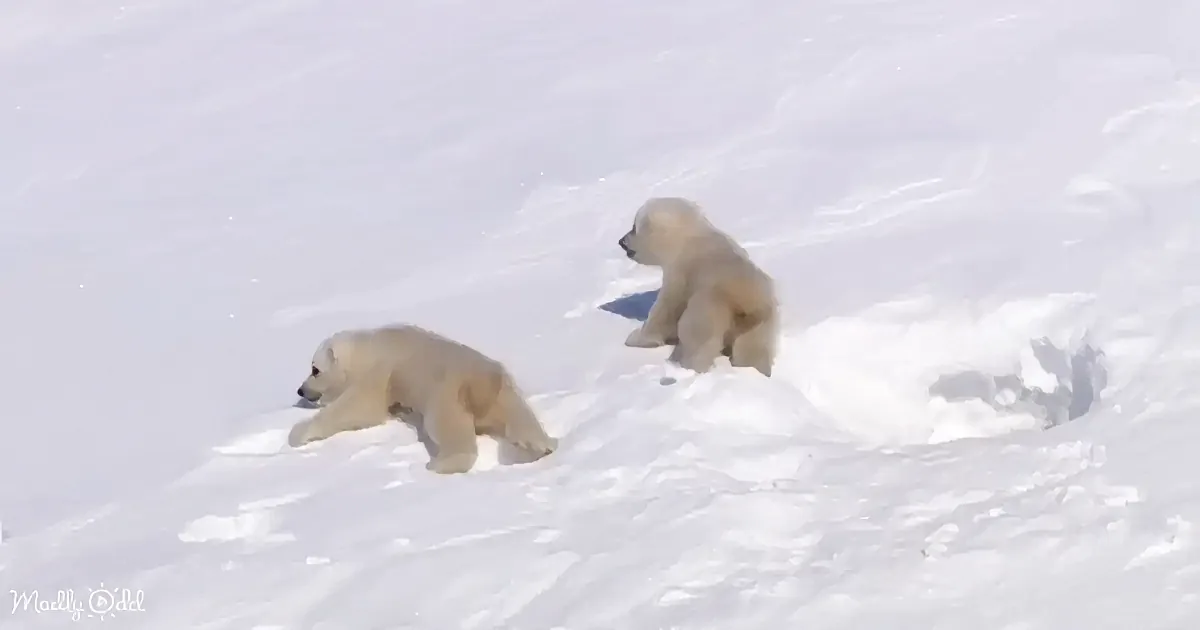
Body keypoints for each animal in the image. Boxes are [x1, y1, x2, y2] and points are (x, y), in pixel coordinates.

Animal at [288, 324, 559, 474]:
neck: (368, 347)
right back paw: (543, 446)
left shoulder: (382, 369)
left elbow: (361, 406)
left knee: (448, 429)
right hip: (506, 395)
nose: (300, 390)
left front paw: (297, 434)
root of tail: (483, 382)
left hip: (444, 394)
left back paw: (440, 464)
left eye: (315, 369)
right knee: (522, 418)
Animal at [616, 196, 779, 377]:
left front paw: (635, 337)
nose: (621, 241)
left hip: (709, 306)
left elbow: (666, 309)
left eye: (634, 227)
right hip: (761, 323)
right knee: (754, 349)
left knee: (697, 339)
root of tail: (747, 305)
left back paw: (685, 366)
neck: (688, 236)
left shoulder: (680, 272)